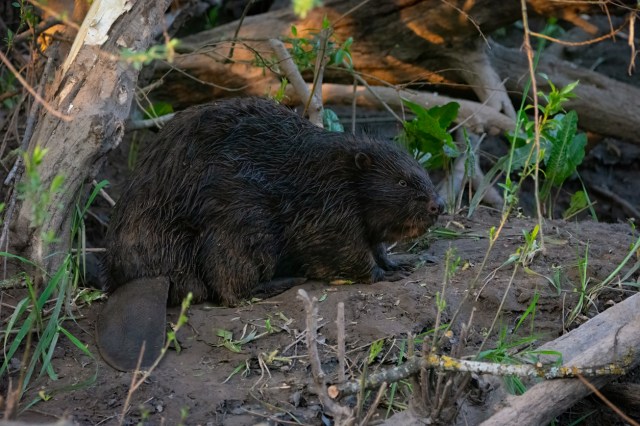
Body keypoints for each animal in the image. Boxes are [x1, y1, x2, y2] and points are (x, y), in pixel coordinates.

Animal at [97, 96, 442, 370]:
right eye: (402, 182)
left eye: (422, 173)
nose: (438, 205)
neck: (338, 170)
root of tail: (143, 277)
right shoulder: (328, 202)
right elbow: (342, 247)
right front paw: (388, 274)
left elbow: (375, 245)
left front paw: (401, 263)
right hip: (245, 222)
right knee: (230, 288)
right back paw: (285, 281)